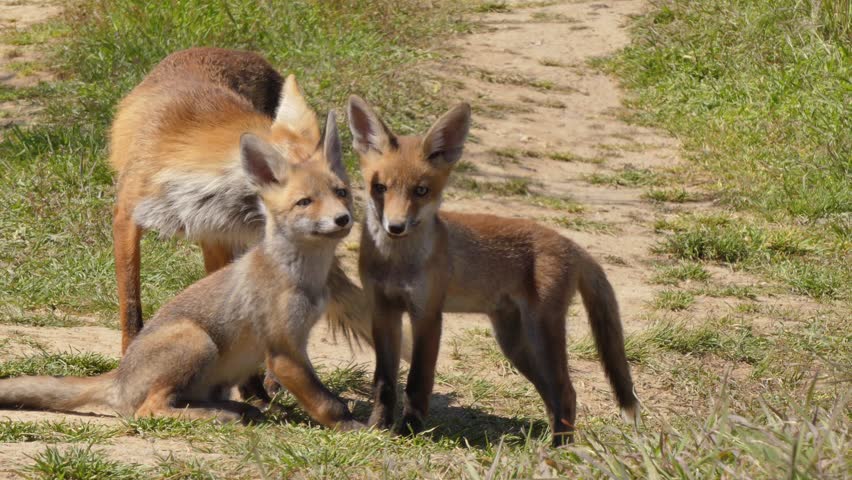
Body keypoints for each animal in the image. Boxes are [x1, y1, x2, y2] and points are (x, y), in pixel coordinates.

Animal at [0, 102, 364, 431]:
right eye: (305, 202)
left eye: (341, 192)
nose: (342, 219)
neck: (301, 277)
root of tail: (119, 375)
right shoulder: (283, 351)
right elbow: (328, 403)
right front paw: (362, 430)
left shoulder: (297, 342)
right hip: (197, 342)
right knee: (147, 410)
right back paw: (220, 417)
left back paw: (235, 410)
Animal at [108, 47, 373, 362]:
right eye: (304, 200)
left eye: (341, 192)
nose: (344, 220)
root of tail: (229, 49)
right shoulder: (127, 217)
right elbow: (131, 304)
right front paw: (129, 354)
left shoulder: (218, 235)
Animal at [346, 95, 639, 446]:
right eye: (380, 187)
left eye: (421, 191)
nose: (395, 227)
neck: (396, 263)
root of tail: (572, 244)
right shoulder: (383, 310)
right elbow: (384, 383)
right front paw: (376, 428)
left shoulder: (427, 315)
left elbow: (417, 383)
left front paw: (409, 432)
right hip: (515, 344)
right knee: (554, 396)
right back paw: (548, 444)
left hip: (542, 333)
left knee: (567, 392)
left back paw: (560, 449)